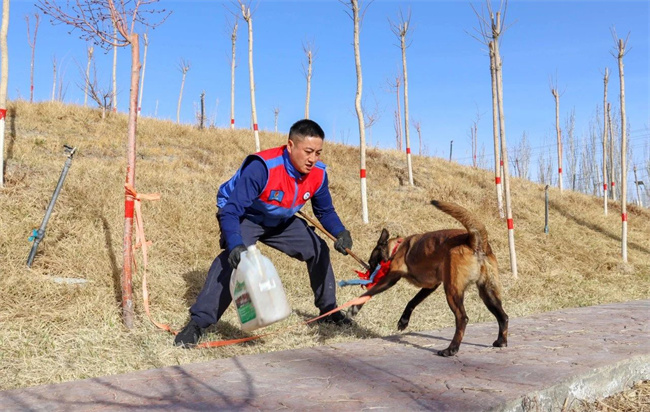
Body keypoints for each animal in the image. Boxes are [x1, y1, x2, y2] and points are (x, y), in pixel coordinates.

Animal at [348, 200, 508, 357]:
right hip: (488, 293)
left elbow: (369, 293)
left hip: (452, 291)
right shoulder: (431, 286)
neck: (397, 247)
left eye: (371, 262)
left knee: (462, 318)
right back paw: (501, 341)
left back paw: (451, 349)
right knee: (503, 316)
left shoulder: (390, 279)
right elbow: (412, 301)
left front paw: (354, 307)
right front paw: (404, 320)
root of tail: (474, 241)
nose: (368, 274)